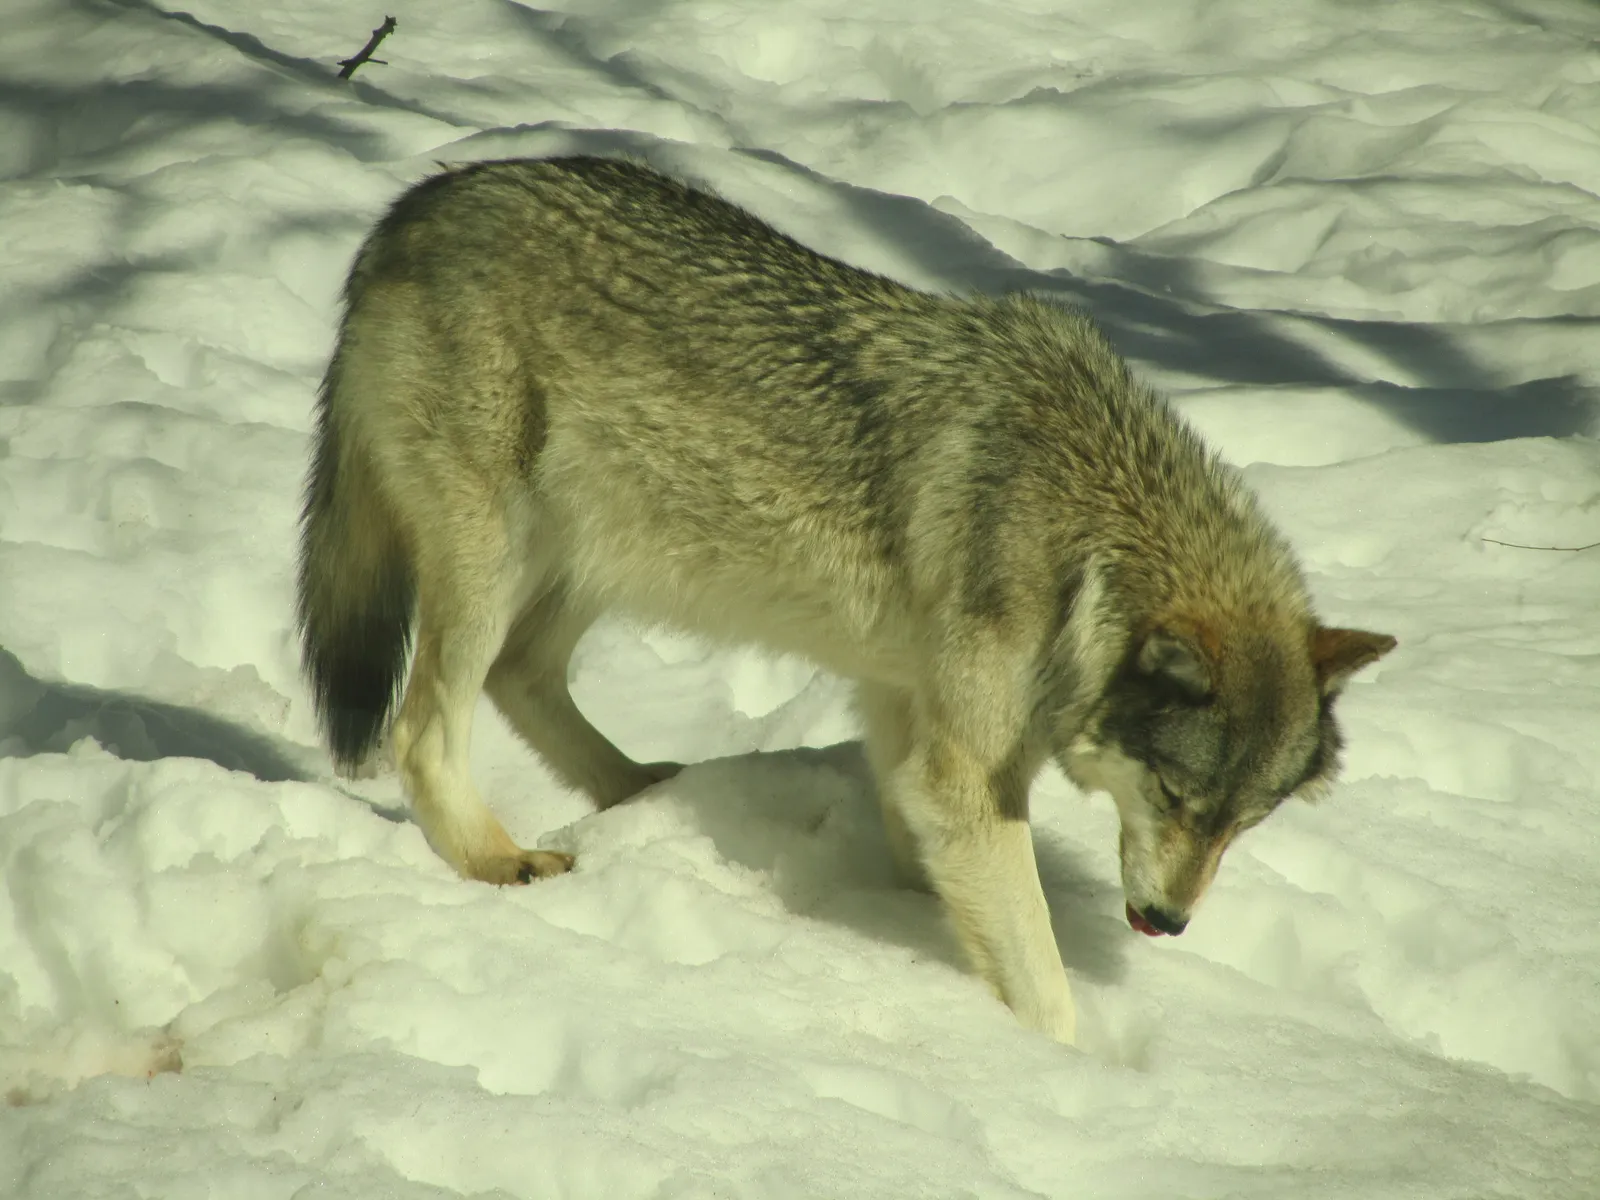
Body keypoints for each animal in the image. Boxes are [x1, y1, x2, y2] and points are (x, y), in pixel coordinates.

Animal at [296, 156, 1396, 1043]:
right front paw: (1065, 1070)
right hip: (499, 555)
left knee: (524, 679)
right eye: (1175, 796)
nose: (1167, 922)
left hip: (604, 553)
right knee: (422, 728)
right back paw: (497, 858)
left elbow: (938, 874)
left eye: (1241, 824)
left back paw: (647, 791)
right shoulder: (963, 775)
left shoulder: (905, 717)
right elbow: (1041, 977)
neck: (1088, 533)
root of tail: (413, 204)